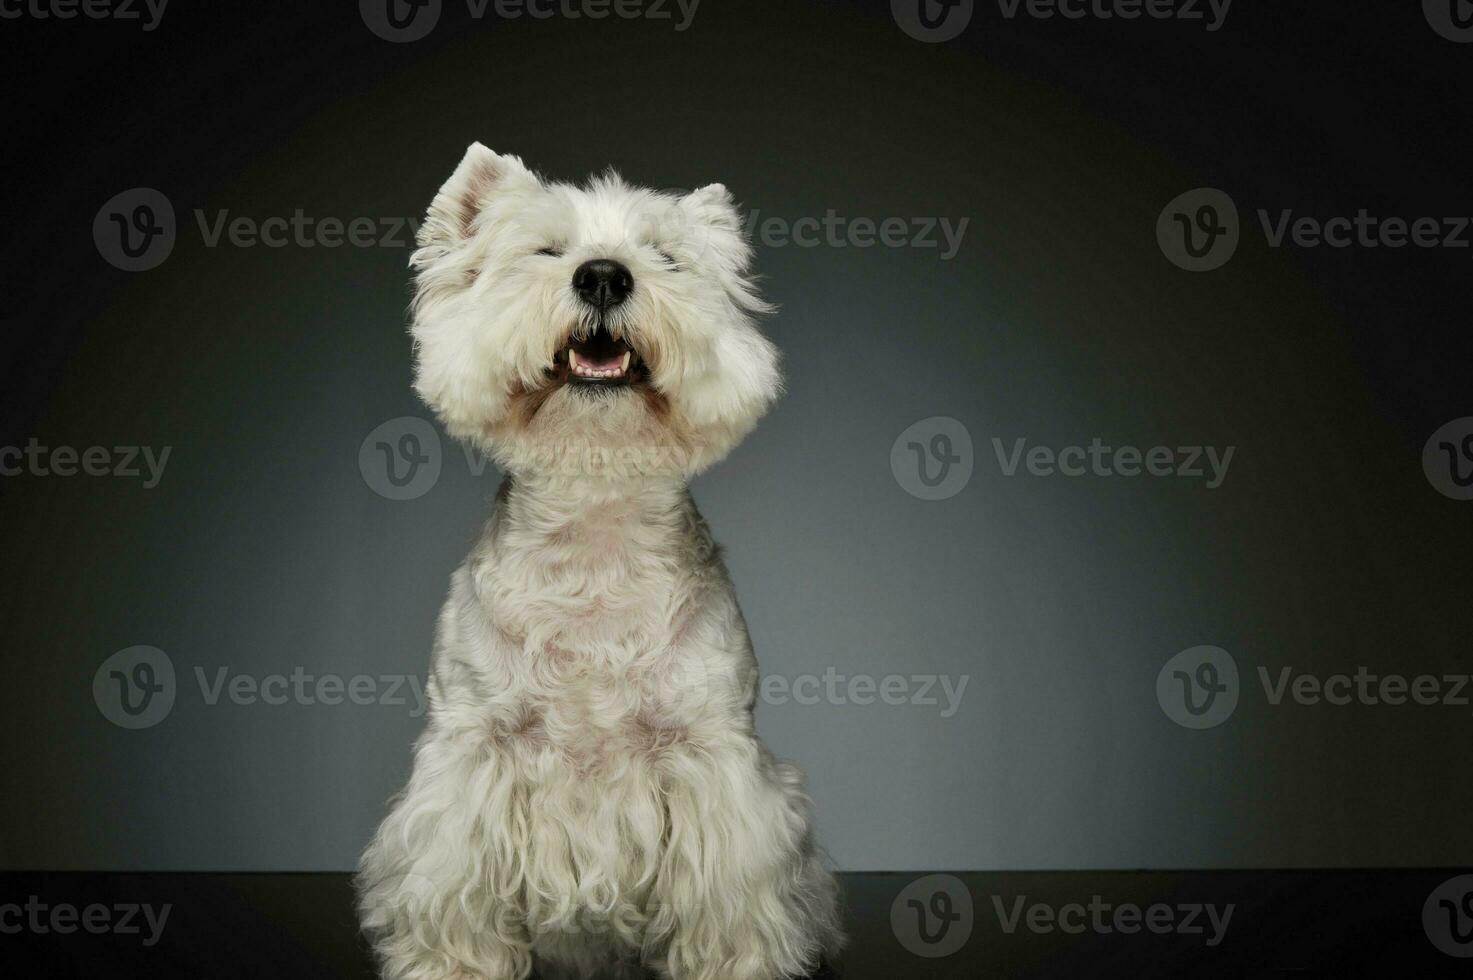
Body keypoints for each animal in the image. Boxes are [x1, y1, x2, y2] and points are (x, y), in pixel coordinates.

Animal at [356, 147, 842, 978]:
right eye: (546, 251)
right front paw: (455, 966)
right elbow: (454, 878)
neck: (594, 526)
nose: (605, 277)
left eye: (666, 257)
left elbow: (730, 897)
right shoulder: (473, 747)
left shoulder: (712, 753)